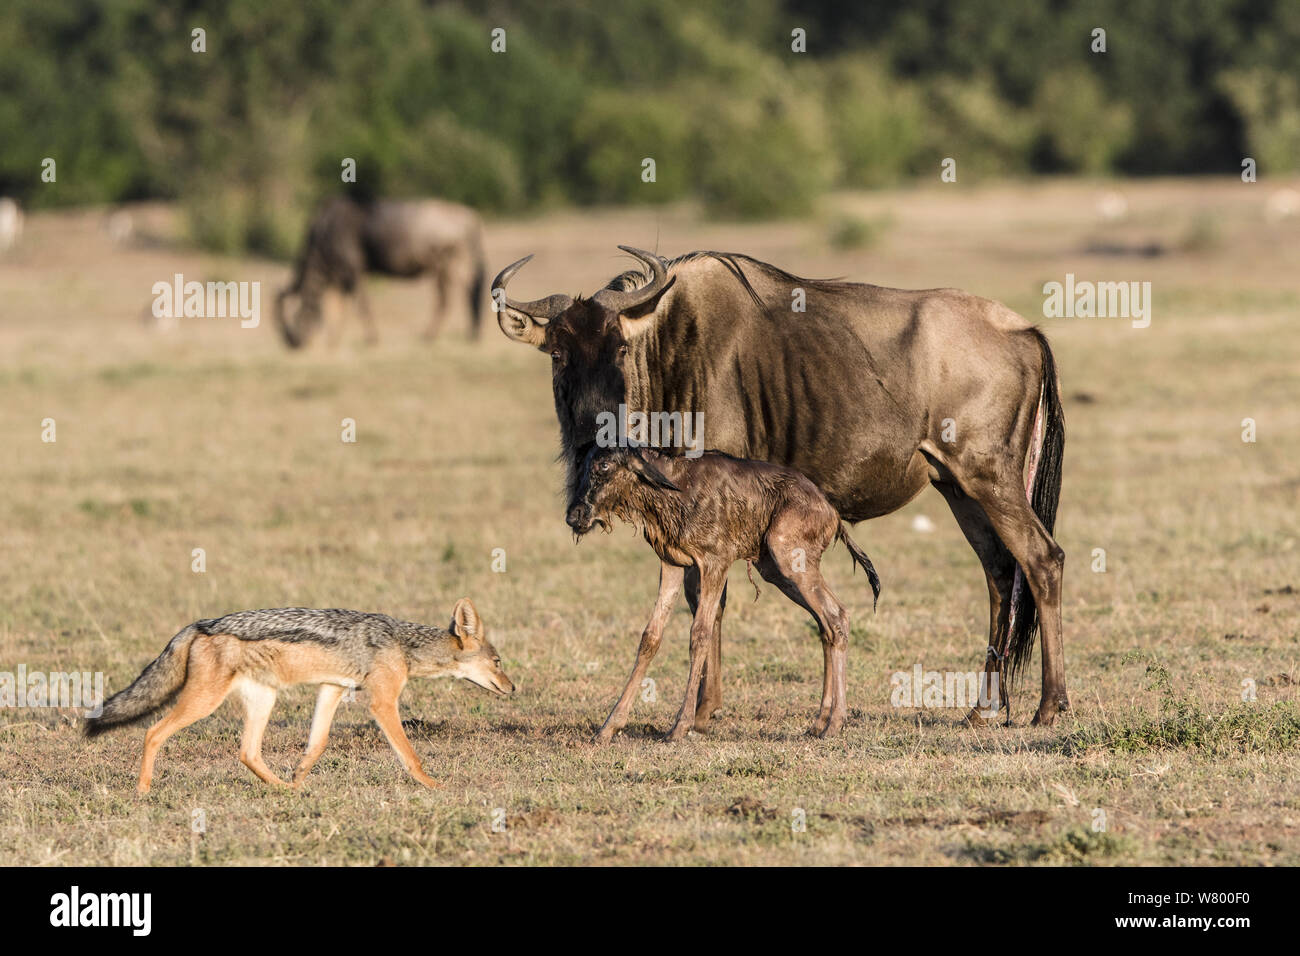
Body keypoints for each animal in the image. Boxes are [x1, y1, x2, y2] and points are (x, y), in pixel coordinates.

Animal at [569, 444, 883, 743]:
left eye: (604, 465)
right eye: (583, 465)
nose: (575, 516)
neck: (675, 487)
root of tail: (832, 514)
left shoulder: (715, 563)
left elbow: (700, 634)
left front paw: (680, 727)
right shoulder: (671, 563)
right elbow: (651, 636)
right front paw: (609, 727)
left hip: (791, 561)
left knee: (837, 616)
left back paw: (835, 723)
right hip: (775, 571)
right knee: (826, 624)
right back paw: (819, 723)